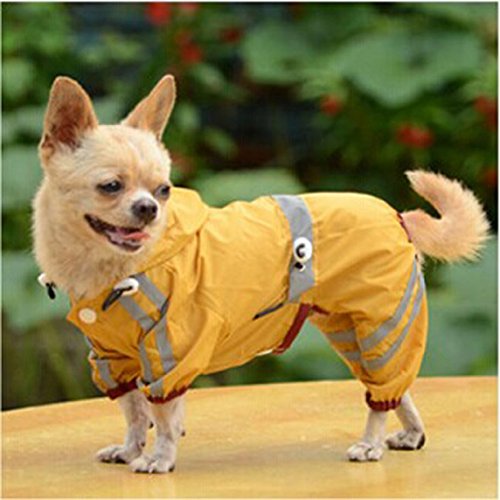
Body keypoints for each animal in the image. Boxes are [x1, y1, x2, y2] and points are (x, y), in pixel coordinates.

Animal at [33, 74, 489, 473]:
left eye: (164, 190)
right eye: (110, 186)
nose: (149, 208)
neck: (111, 269)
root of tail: (398, 217)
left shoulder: (171, 355)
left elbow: (161, 415)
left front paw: (159, 458)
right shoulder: (112, 360)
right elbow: (132, 410)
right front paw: (130, 449)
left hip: (381, 325)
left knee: (382, 392)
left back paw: (371, 443)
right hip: (353, 334)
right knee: (396, 389)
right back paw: (411, 434)